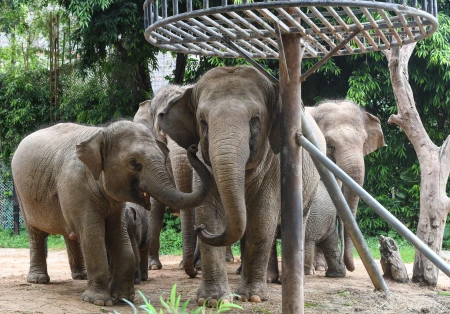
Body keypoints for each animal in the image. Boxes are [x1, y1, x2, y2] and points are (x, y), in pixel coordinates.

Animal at [11, 121, 212, 306]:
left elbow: (119, 236)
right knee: (35, 233)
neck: (101, 133)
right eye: (133, 163)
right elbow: (93, 236)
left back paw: (81, 276)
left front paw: (123, 298)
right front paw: (99, 301)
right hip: (21, 193)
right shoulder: (75, 184)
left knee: (70, 233)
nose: (194, 147)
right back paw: (39, 280)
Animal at [156, 65, 326, 304]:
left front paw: (251, 298)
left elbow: (262, 218)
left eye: (255, 119)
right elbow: (210, 213)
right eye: (202, 121)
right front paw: (213, 301)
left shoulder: (275, 163)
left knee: (297, 220)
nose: (192, 148)